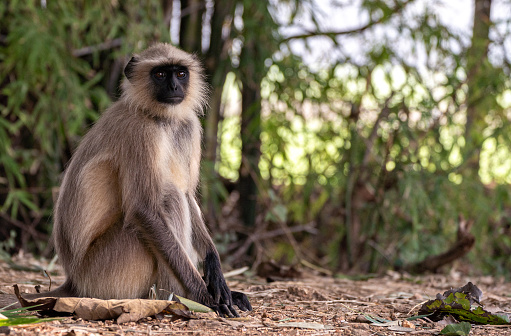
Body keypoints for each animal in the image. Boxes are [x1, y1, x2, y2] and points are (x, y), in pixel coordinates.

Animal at [3, 43, 252, 316]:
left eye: (181, 73)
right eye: (160, 74)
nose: (174, 87)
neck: (160, 118)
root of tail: (74, 280)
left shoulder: (189, 126)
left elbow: (187, 193)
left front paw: (215, 271)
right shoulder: (140, 131)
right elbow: (145, 209)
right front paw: (204, 296)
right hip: (106, 271)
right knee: (170, 198)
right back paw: (178, 298)